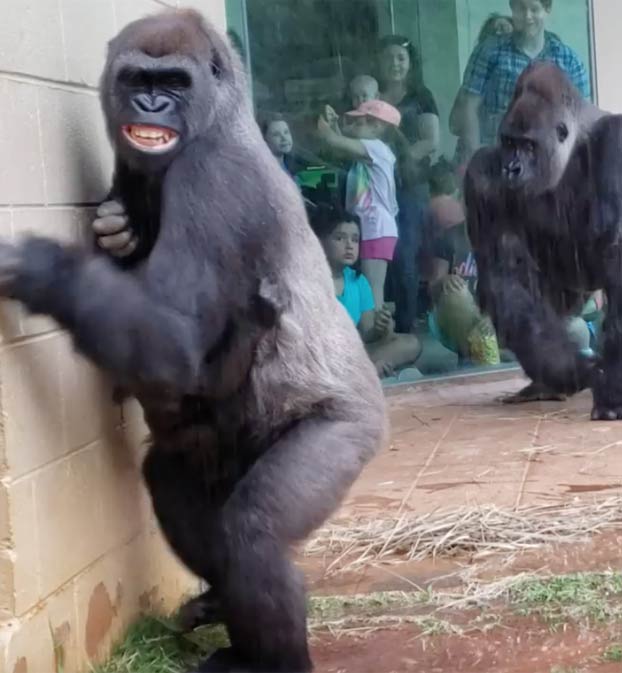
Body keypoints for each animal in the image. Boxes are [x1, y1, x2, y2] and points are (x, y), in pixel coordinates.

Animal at [0, 7, 388, 668]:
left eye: (176, 84)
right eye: (137, 78)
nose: (152, 104)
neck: (222, 118)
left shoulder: (212, 177)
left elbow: (174, 340)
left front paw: (44, 269)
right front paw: (117, 231)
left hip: (349, 432)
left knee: (255, 534)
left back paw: (267, 658)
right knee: (173, 472)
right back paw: (218, 604)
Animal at [468, 63, 622, 420]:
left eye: (529, 146)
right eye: (509, 142)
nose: (511, 168)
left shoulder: (615, 142)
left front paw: (611, 390)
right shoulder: (481, 174)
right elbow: (506, 276)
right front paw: (572, 371)